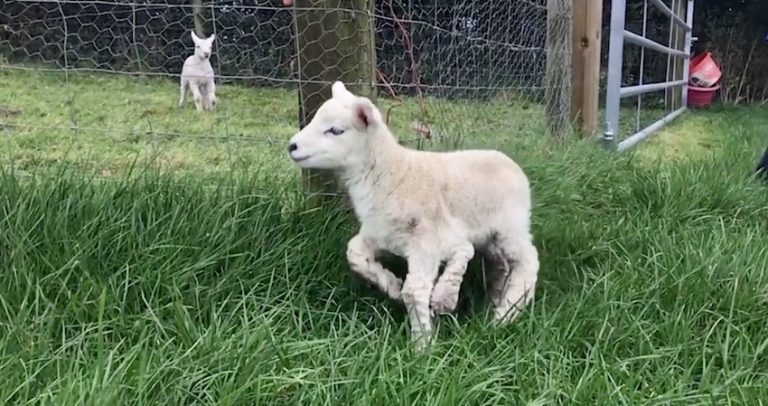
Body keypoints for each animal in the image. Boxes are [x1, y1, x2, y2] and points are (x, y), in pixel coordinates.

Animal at [286, 81, 540, 351]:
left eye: (335, 130)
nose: (292, 146)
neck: (392, 174)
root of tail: (511, 163)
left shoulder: (427, 241)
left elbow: (416, 290)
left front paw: (423, 345)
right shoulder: (382, 235)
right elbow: (354, 254)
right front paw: (391, 286)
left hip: (511, 227)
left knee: (528, 262)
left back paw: (504, 316)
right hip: (490, 237)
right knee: (501, 265)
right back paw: (496, 303)